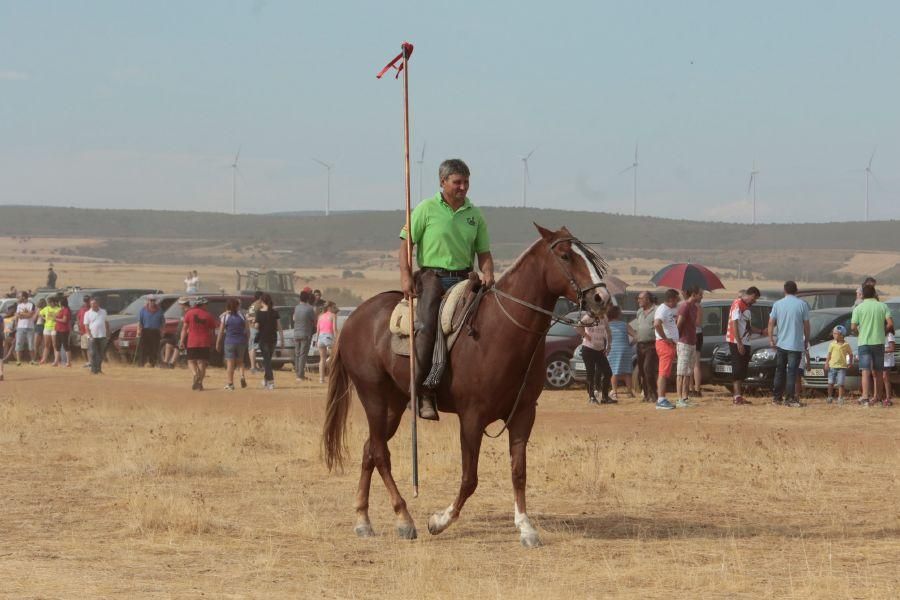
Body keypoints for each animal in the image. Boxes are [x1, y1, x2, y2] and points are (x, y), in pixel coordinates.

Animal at [320, 223, 608, 548]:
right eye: (565, 255)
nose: (602, 298)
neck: (500, 331)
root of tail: (353, 318)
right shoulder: (472, 417)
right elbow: (470, 478)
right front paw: (438, 521)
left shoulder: (523, 413)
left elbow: (518, 472)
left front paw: (526, 527)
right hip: (374, 397)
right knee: (381, 453)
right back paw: (404, 519)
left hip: (394, 404)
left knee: (370, 448)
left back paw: (363, 520)